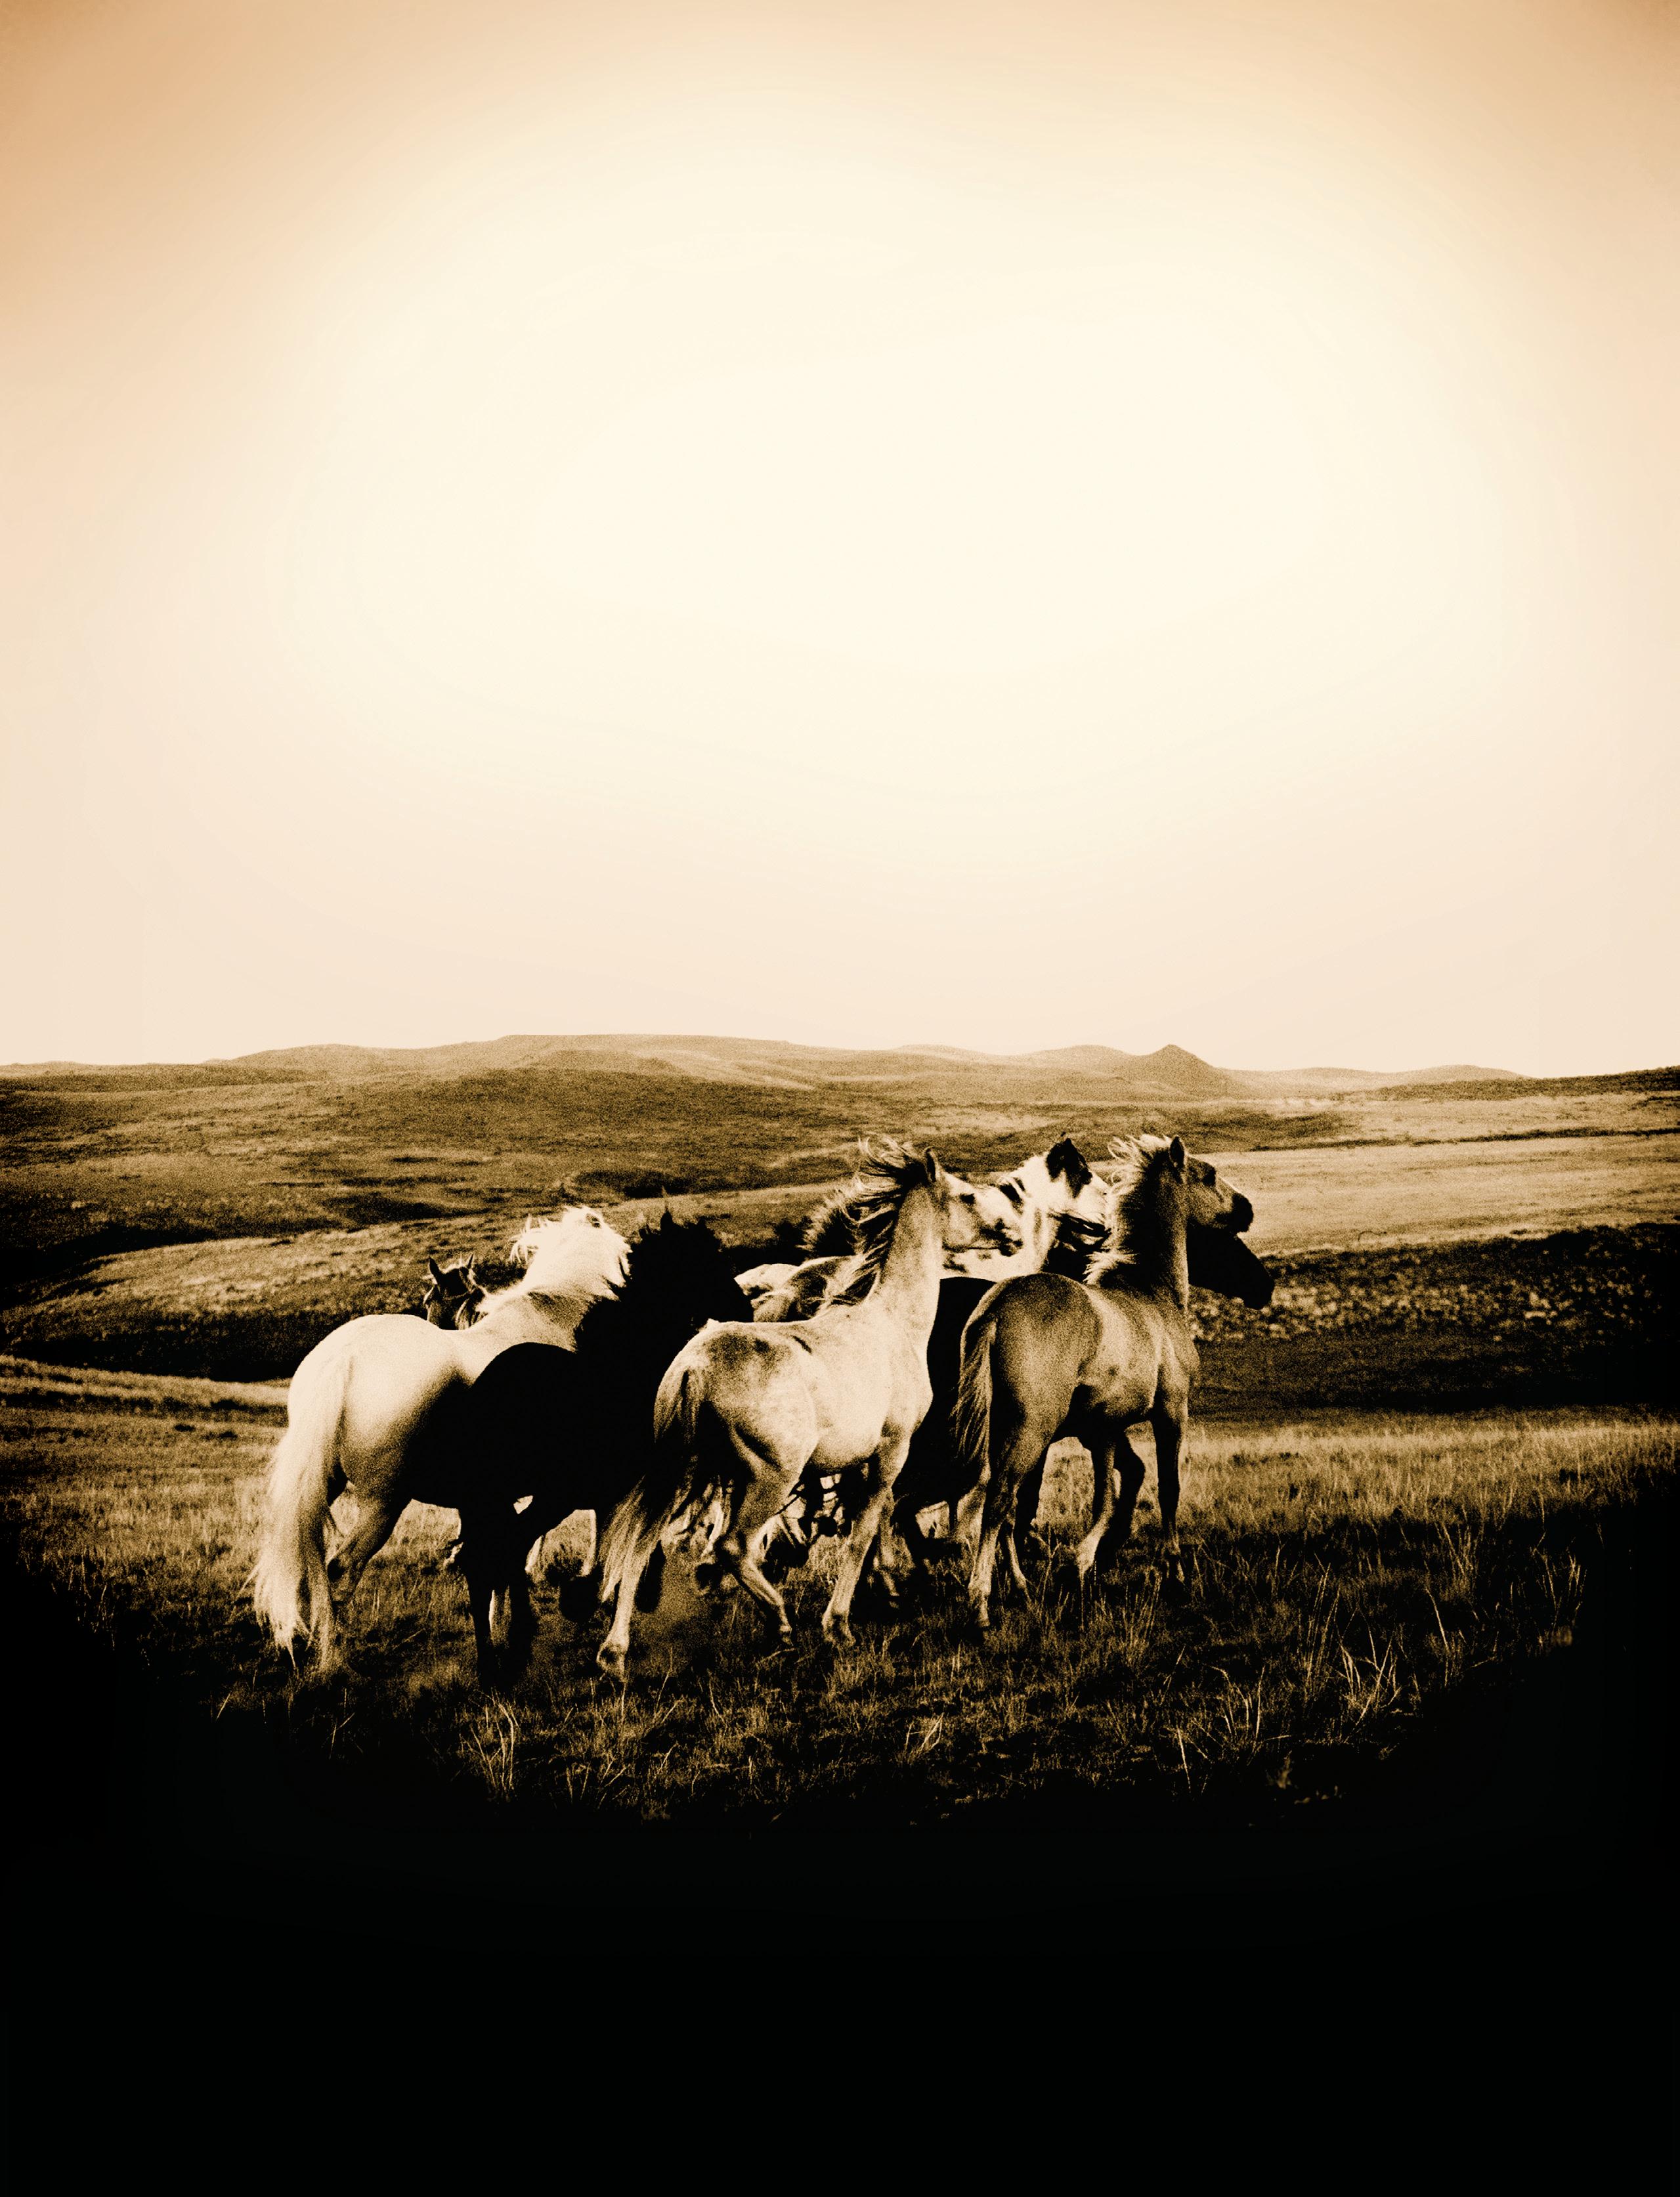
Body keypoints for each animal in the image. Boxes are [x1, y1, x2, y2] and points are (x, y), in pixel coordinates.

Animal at [430, 1213, 752, 1682]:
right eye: (708, 1263)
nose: (744, 1309)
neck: (625, 1365)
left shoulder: (614, 1492)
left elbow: (615, 1549)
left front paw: (596, 1600)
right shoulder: (637, 1488)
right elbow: (629, 1554)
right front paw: (608, 1628)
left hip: (491, 1497)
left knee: (487, 1555)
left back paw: (493, 1658)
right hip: (548, 1496)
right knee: (506, 1547)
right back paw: (518, 1642)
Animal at [594, 1141, 1004, 1677]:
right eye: (968, 1195)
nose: (1006, 1230)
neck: (893, 1325)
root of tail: (696, 1365)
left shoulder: (854, 1465)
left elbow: (871, 1526)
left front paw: (885, 1592)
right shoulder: (890, 1452)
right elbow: (864, 1530)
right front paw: (840, 1626)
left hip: (685, 1470)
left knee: (641, 1545)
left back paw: (614, 1653)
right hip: (769, 1476)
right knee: (731, 1546)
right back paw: (781, 1624)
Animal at [956, 1135, 1235, 1629]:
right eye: (1209, 1176)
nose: (1245, 1210)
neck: (1154, 1295)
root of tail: (995, 1310)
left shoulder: (1103, 1429)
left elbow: (1107, 1496)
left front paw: (1083, 1564)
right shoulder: (1171, 1413)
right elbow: (1167, 1489)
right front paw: (1175, 1577)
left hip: (1004, 1431)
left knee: (1004, 1506)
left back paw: (1020, 1588)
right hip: (1031, 1430)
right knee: (998, 1502)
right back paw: (981, 1605)